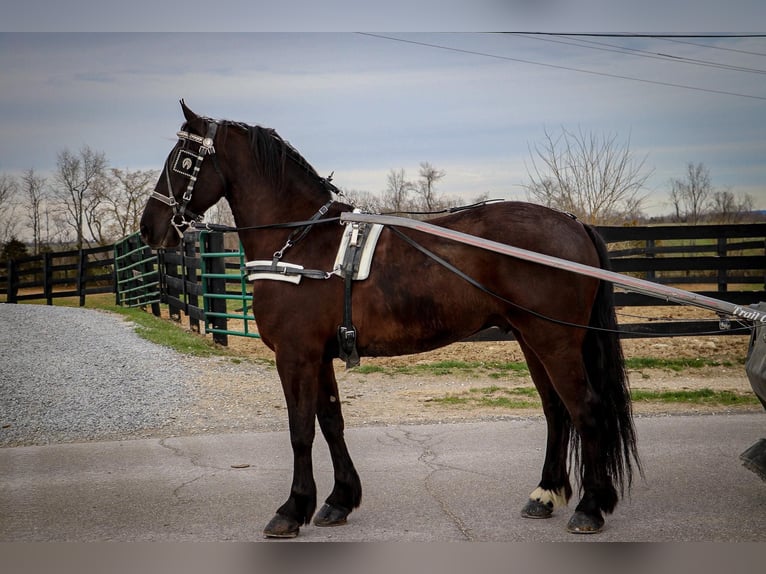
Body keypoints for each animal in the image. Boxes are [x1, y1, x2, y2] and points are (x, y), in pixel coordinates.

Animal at [140, 102, 640, 540]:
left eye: (183, 159)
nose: (150, 227)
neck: (301, 242)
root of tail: (573, 223)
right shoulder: (319, 356)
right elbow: (331, 422)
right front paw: (338, 500)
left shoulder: (295, 355)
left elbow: (300, 430)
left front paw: (291, 509)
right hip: (530, 338)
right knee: (557, 410)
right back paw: (545, 494)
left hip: (554, 340)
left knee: (586, 409)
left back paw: (590, 507)